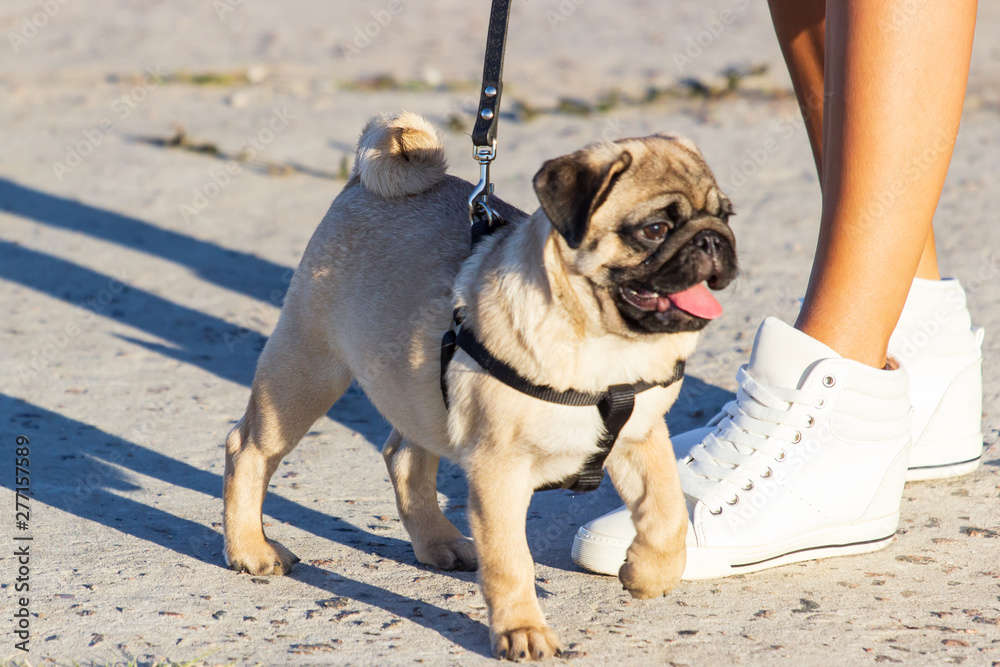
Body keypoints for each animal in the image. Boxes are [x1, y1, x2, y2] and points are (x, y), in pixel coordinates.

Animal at [223, 112, 740, 660]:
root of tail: (364, 183)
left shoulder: (642, 435)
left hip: (416, 388)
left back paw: (439, 543)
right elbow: (511, 562)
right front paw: (522, 630)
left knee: (403, 457)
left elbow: (666, 512)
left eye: (726, 216)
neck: (603, 343)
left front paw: (649, 574)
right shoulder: (500, 471)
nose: (712, 240)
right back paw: (250, 550)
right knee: (248, 449)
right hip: (307, 369)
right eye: (654, 229)